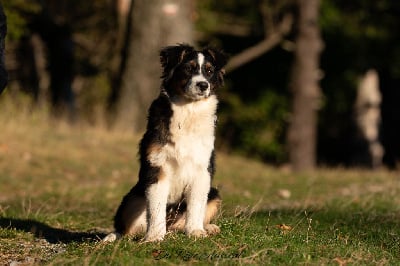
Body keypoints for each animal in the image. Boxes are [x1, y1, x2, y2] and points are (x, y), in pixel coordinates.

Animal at [104, 43, 228, 241]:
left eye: (209, 71)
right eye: (188, 68)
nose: (203, 85)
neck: (188, 111)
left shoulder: (202, 170)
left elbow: (196, 205)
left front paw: (195, 231)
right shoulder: (157, 166)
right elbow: (156, 208)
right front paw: (154, 237)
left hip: (214, 194)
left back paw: (208, 227)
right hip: (132, 198)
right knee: (126, 230)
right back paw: (111, 238)